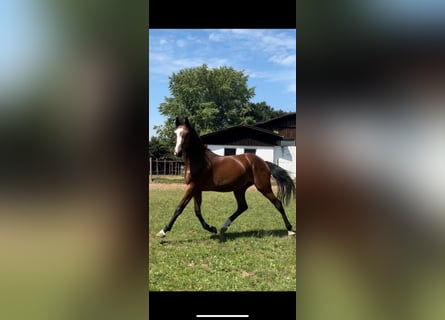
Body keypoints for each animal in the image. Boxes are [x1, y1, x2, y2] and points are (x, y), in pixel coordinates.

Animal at [156, 117, 294, 238]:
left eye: (187, 134)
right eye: (175, 134)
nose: (177, 152)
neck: (199, 160)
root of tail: (263, 162)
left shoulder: (192, 186)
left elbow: (179, 208)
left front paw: (163, 231)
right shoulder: (196, 189)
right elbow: (197, 211)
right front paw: (212, 228)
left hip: (263, 187)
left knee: (278, 204)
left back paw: (290, 230)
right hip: (239, 189)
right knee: (242, 207)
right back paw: (223, 227)